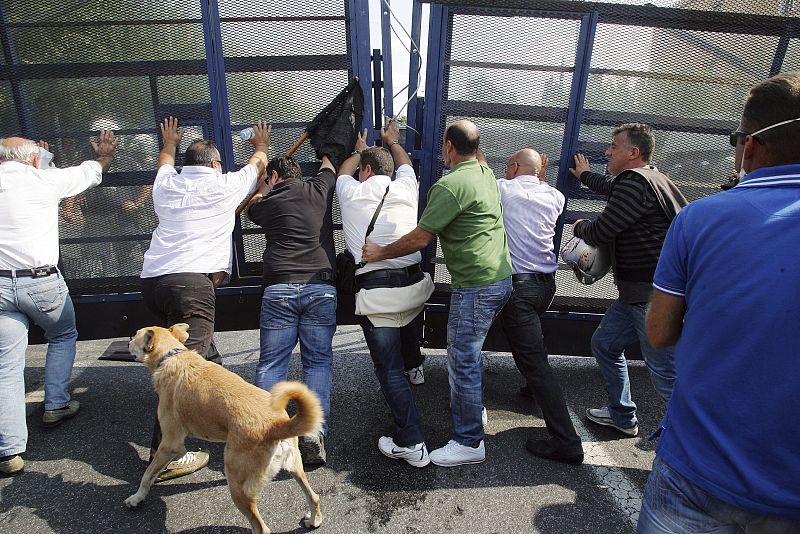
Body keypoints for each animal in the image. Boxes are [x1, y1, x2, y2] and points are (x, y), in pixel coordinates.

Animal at [124, 324, 322, 532]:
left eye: (135, 336)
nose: (127, 342)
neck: (172, 355)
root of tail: (277, 425)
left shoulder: (170, 443)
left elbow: (147, 474)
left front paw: (137, 497)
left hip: (237, 485)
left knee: (261, 527)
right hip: (296, 468)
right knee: (314, 497)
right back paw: (314, 520)